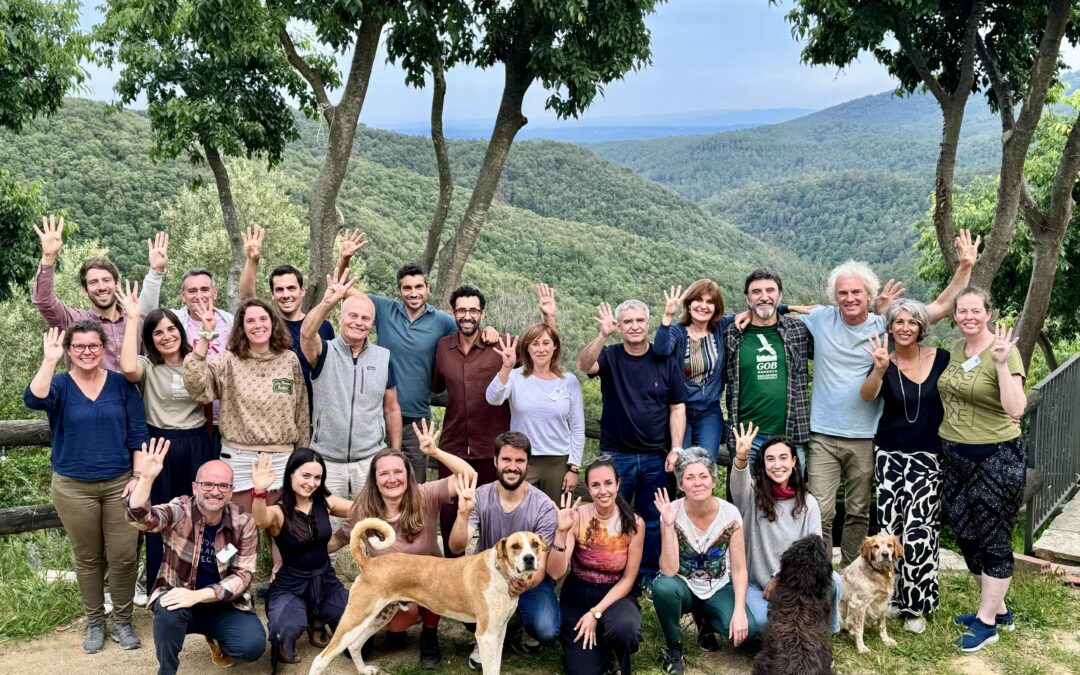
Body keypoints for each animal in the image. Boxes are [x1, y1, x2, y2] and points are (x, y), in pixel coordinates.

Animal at [311, 518, 548, 669]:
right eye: (515, 546)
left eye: (535, 544)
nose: (529, 559)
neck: (500, 572)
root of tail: (369, 562)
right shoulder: (486, 635)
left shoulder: (498, 632)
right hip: (355, 619)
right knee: (320, 659)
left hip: (379, 616)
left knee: (354, 646)